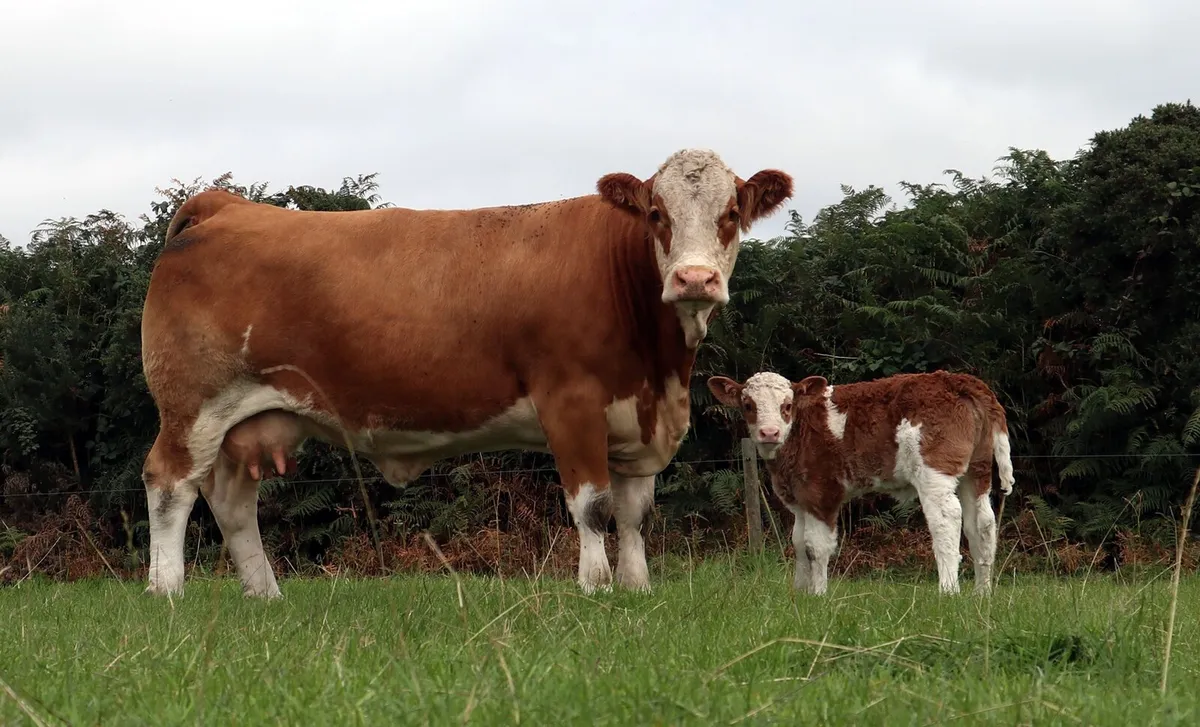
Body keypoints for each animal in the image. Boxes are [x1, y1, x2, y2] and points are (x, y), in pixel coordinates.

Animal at [140, 149, 794, 598]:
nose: (694, 279)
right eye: (657, 213)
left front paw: (637, 588)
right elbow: (592, 506)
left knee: (231, 502)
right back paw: (168, 592)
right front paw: (596, 586)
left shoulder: (635, 421)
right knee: (170, 485)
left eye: (731, 214)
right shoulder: (571, 402)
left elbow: (634, 514)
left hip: (249, 420)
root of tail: (227, 205)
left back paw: (266, 596)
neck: (660, 372)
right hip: (192, 407)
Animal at [706, 369, 1015, 595]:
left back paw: (948, 591)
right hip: (977, 469)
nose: (769, 432)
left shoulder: (822, 491)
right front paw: (799, 593)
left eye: (787, 406)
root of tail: (958, 379)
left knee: (946, 519)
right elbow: (798, 542)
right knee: (982, 524)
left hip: (935, 469)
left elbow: (816, 546)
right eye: (748, 405)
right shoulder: (800, 497)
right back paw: (981, 593)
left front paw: (819, 595)